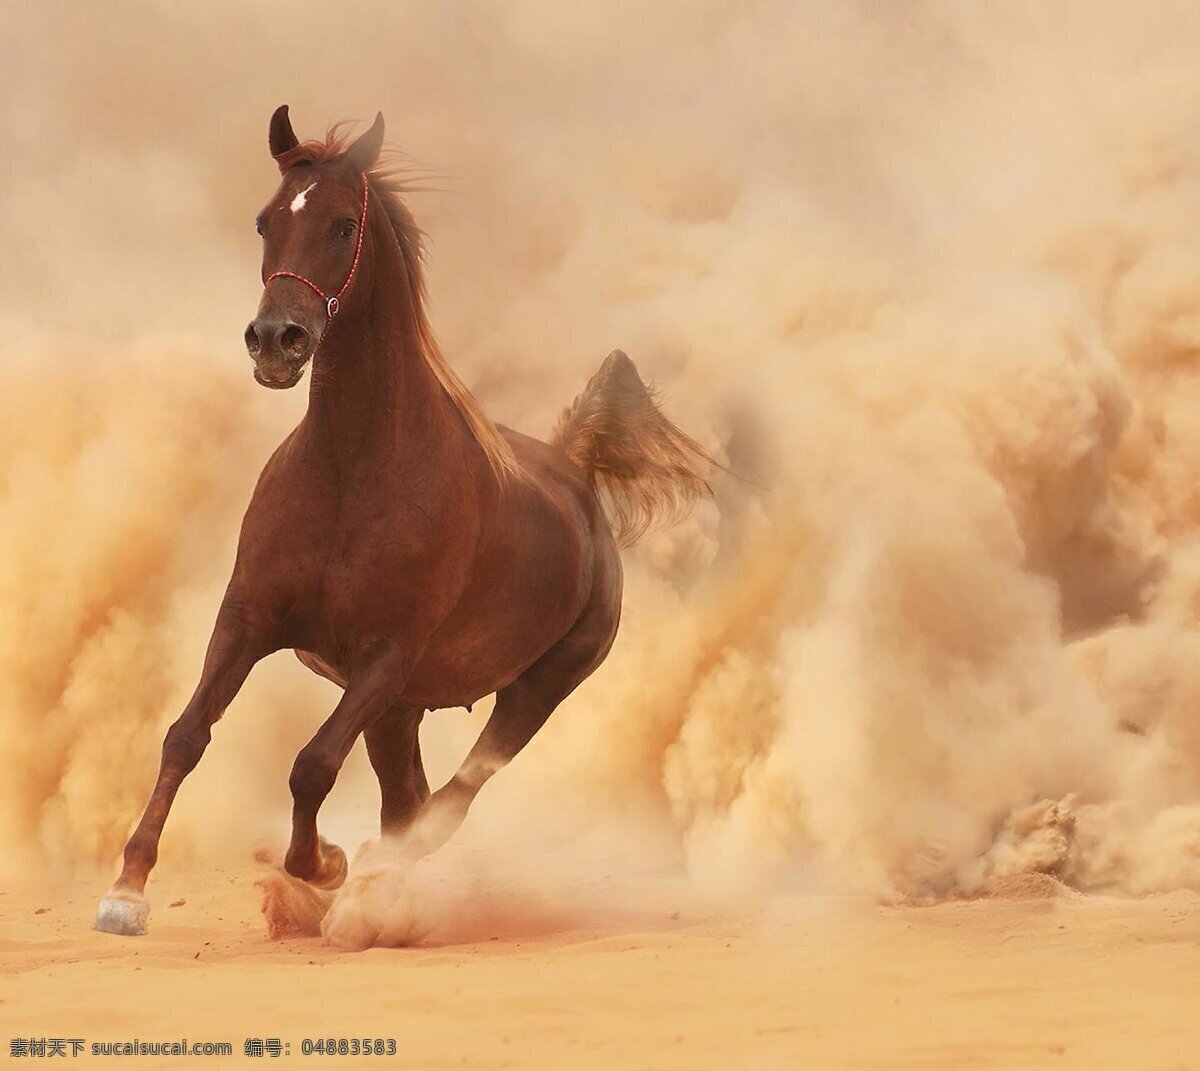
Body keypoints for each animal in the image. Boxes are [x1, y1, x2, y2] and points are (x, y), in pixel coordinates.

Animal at [96, 106, 710, 936]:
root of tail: (574, 473)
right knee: (408, 797)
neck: (351, 472)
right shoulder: (249, 618)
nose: (276, 340)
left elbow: (312, 763)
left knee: (448, 801)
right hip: (402, 710)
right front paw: (126, 891)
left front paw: (324, 864)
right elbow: (186, 734)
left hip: (534, 689)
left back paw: (375, 888)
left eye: (343, 225)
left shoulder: (385, 655)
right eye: (265, 220)